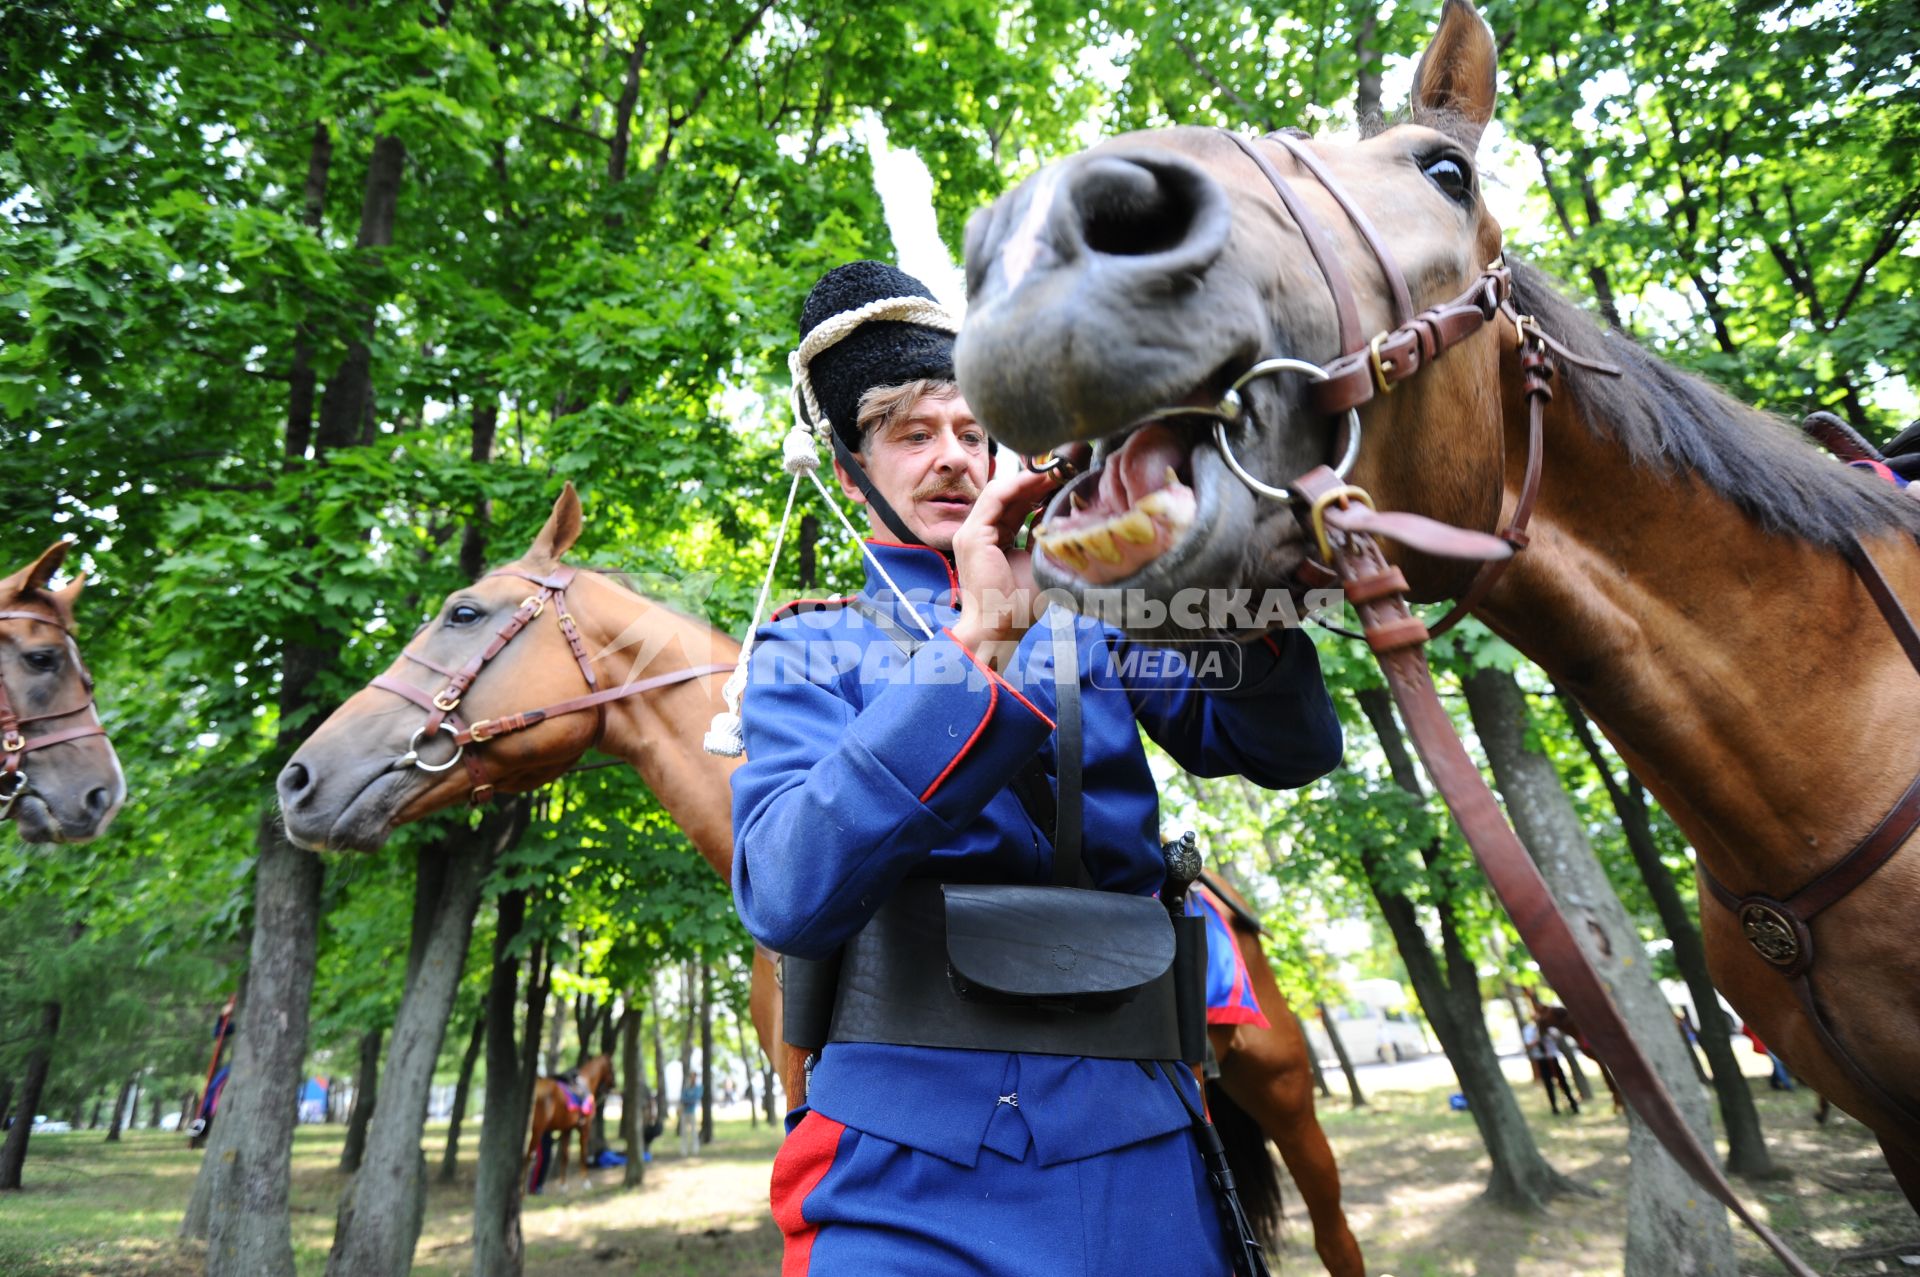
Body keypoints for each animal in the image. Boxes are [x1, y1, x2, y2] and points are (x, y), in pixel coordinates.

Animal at [526, 1052, 614, 1190]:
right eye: (612, 1066)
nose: (614, 1084)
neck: (587, 1081)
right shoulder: (585, 1127)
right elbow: (583, 1153)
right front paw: (586, 1181)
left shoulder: (566, 1129)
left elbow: (565, 1156)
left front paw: (563, 1185)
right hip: (537, 1132)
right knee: (527, 1158)